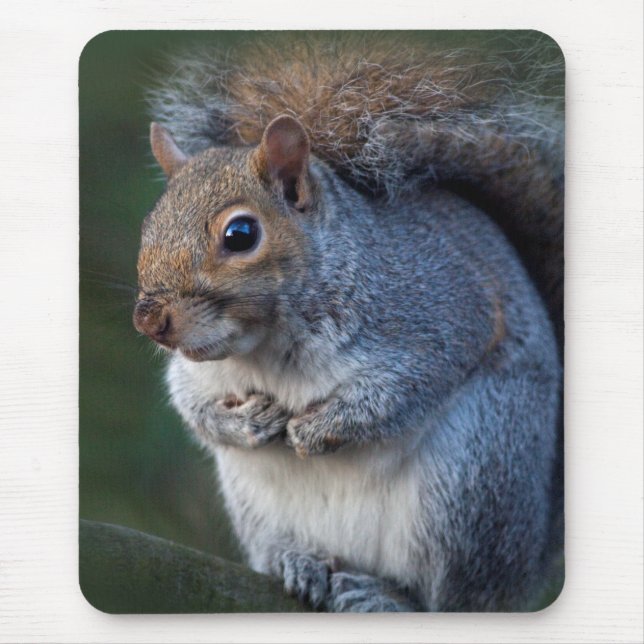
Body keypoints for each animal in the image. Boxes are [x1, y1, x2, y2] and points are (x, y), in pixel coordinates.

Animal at [133, 32, 564, 612]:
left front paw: (317, 429)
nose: (150, 320)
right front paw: (243, 424)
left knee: (449, 596)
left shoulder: (442, 313)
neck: (266, 347)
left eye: (240, 234)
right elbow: (190, 403)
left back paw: (387, 596)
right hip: (257, 506)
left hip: (473, 477)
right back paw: (300, 562)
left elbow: (405, 388)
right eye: (149, 224)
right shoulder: (197, 371)